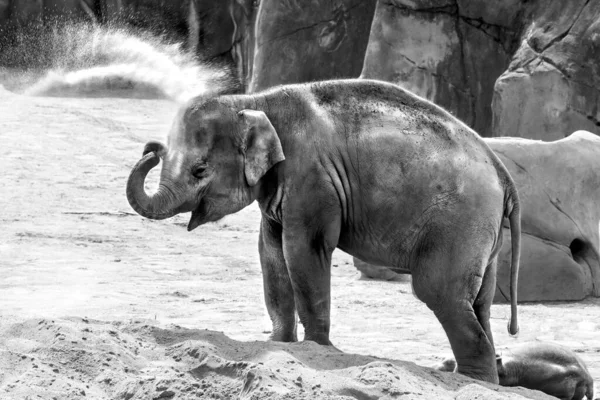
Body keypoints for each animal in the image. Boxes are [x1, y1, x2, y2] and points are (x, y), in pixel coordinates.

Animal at [126, 79, 520, 384]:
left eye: (200, 170)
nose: (151, 148)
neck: (254, 101)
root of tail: (503, 175)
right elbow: (271, 254)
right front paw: (280, 343)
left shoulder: (312, 179)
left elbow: (303, 251)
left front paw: (316, 348)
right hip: (481, 236)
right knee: (479, 302)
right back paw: (483, 377)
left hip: (458, 225)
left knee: (439, 292)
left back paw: (471, 379)